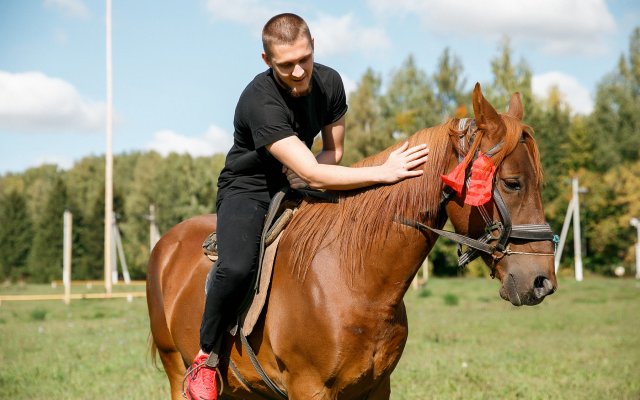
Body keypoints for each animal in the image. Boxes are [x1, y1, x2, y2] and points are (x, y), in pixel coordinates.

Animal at [148, 83, 556, 398]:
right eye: (512, 183)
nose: (542, 282)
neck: (355, 281)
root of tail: (166, 244)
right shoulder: (309, 389)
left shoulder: (376, 388)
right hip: (175, 366)